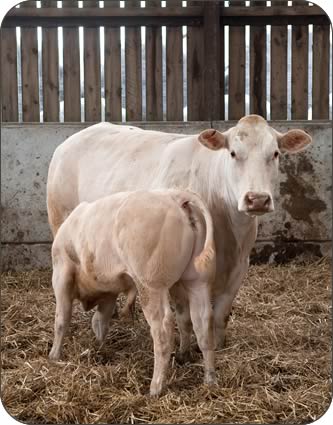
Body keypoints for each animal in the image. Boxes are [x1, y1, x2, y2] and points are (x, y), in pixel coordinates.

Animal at [46, 113, 312, 354]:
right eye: (233, 153)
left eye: (275, 153)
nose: (257, 199)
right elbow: (184, 317)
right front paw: (184, 351)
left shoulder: (239, 266)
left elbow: (220, 315)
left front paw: (218, 347)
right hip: (62, 227)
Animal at [48, 190, 215, 396]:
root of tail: (176, 196)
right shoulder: (109, 291)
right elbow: (100, 321)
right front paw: (100, 347)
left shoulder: (61, 272)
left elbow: (61, 319)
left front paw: (54, 355)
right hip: (198, 281)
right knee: (202, 323)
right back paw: (208, 378)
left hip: (151, 284)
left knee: (163, 329)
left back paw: (155, 387)